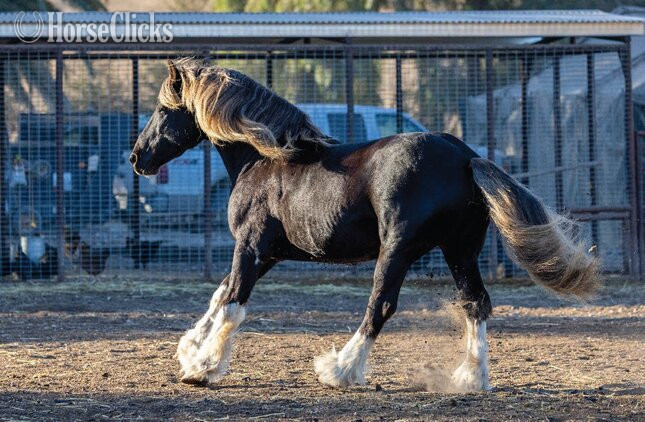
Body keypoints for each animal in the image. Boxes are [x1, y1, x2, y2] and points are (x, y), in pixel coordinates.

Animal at [130, 58, 599, 391]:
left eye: (163, 109)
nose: (137, 158)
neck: (262, 159)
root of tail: (466, 157)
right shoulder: (267, 254)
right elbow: (220, 294)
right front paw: (190, 351)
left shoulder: (251, 246)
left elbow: (232, 303)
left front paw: (203, 367)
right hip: (459, 250)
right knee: (476, 303)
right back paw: (470, 378)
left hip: (398, 249)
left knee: (381, 305)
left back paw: (339, 369)